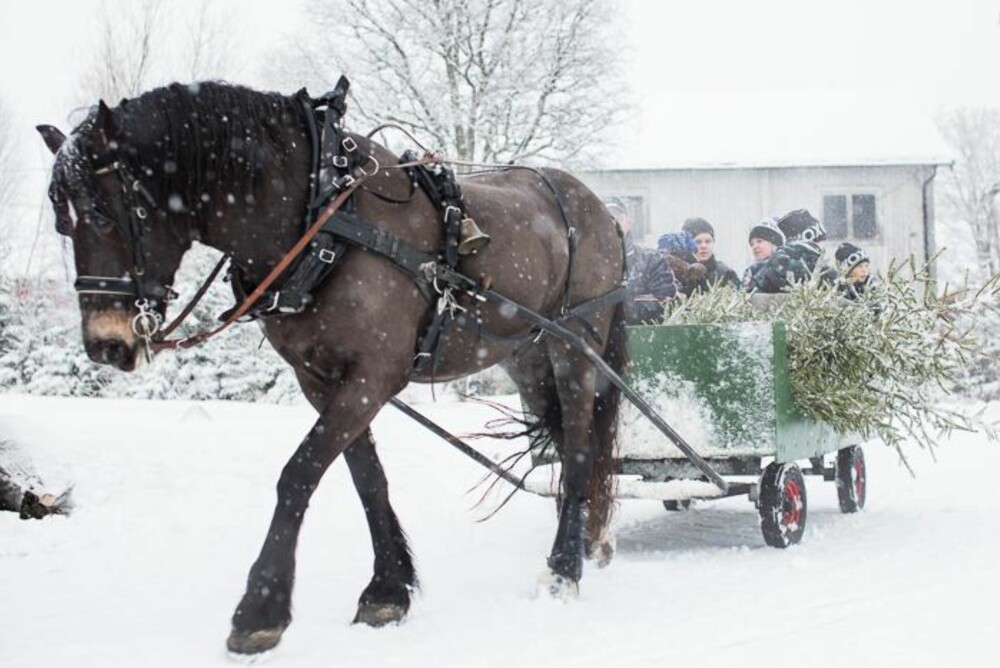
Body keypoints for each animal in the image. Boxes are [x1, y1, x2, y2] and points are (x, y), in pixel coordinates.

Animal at [39, 81, 624, 656]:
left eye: (102, 214)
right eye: (62, 224)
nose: (106, 344)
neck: (322, 216)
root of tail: (603, 211)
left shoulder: (373, 374)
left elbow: (299, 473)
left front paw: (260, 610)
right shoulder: (319, 379)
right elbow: (368, 479)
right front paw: (387, 590)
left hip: (576, 349)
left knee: (578, 449)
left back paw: (564, 567)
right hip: (527, 356)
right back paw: (589, 538)